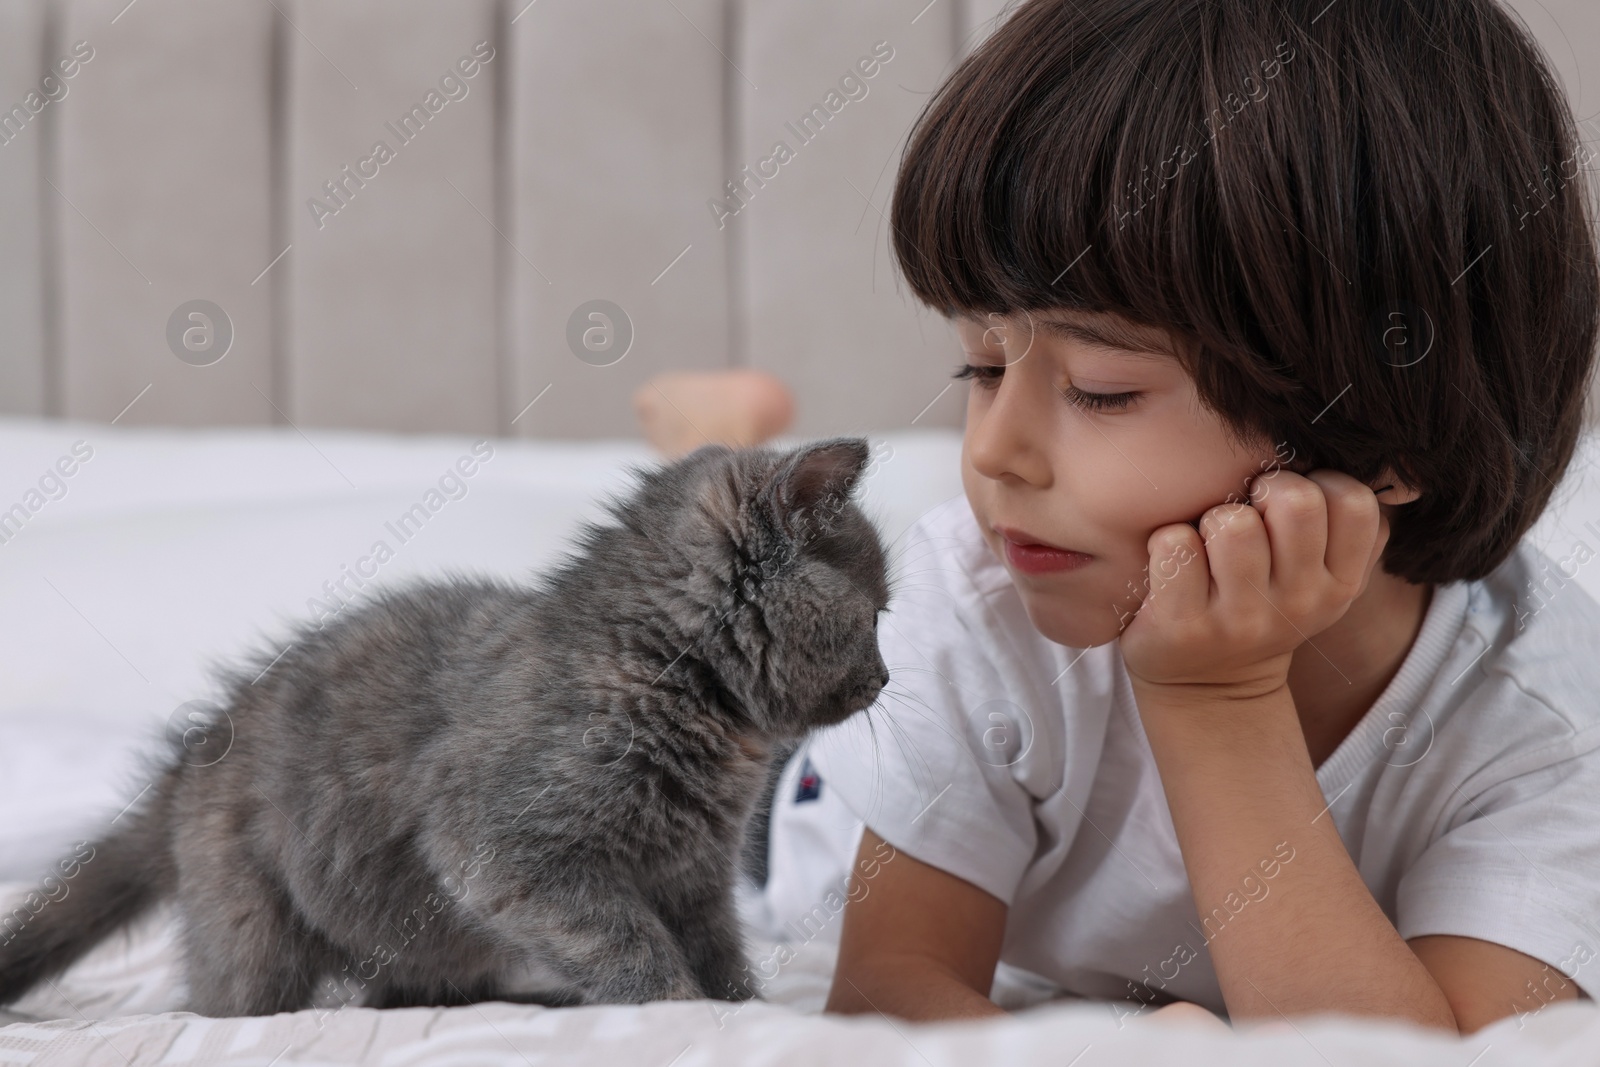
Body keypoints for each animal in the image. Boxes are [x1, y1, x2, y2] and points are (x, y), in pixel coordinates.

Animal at [0, 435, 889, 1017]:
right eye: (878, 613)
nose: (886, 677)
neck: (667, 677)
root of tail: (190, 755)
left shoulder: (697, 873)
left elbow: (718, 947)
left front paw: (742, 1007)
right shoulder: (507, 853)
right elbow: (624, 938)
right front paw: (677, 1007)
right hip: (254, 925)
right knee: (231, 1002)